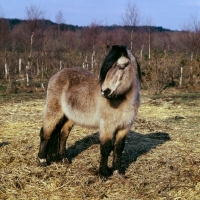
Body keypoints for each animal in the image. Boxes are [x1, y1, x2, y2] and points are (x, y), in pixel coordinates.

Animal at [37, 45, 141, 178]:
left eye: (122, 66)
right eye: (107, 68)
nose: (105, 91)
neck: (121, 101)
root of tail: (56, 75)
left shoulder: (124, 128)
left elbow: (118, 148)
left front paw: (118, 172)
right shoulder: (107, 128)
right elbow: (106, 148)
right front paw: (104, 173)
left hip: (69, 118)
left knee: (63, 135)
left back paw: (64, 159)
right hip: (54, 113)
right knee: (46, 133)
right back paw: (42, 161)